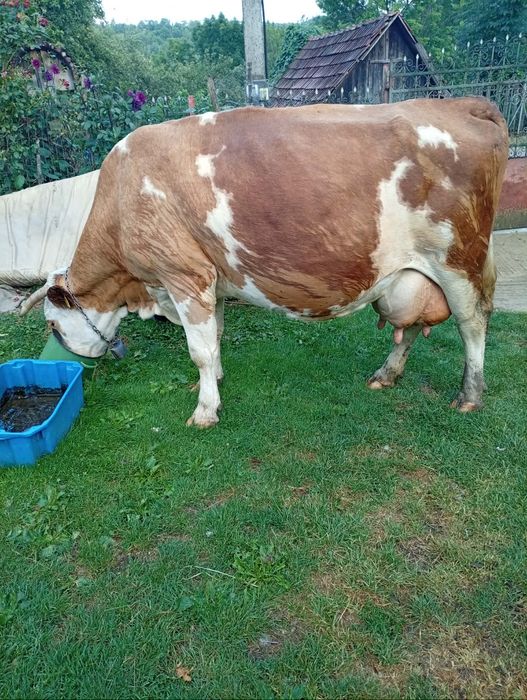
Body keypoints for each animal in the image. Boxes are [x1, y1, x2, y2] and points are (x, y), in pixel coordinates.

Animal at [21, 97, 509, 428]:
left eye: (52, 324)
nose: (68, 356)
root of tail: (458, 103)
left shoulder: (184, 274)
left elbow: (198, 350)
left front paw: (205, 410)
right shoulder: (211, 279)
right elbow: (215, 337)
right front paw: (215, 382)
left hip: (459, 258)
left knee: (472, 322)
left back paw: (470, 394)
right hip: (409, 273)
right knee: (407, 325)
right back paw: (386, 374)